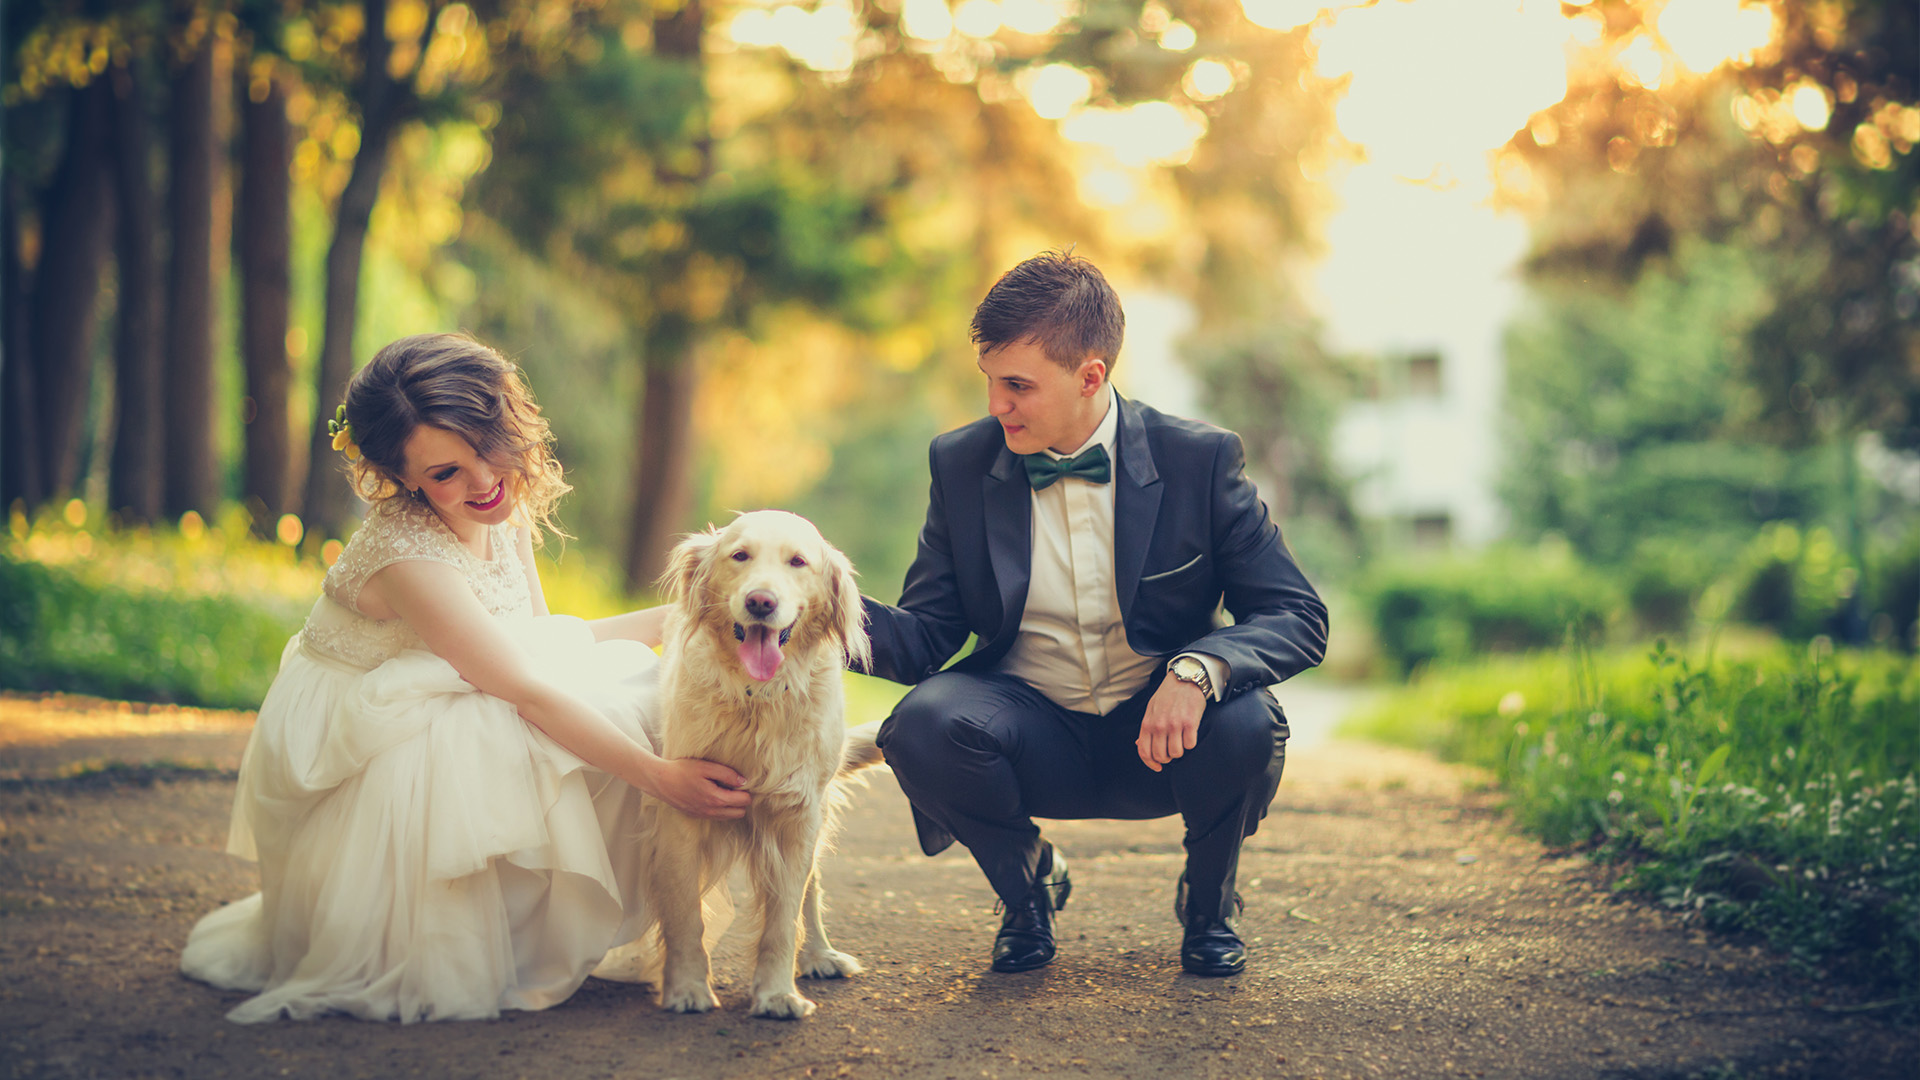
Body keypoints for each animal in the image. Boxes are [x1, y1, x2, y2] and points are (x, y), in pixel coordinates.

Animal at [652, 507, 879, 1014]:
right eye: (740, 556)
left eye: (798, 561)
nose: (760, 602)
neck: (756, 695)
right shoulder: (681, 805)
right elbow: (683, 911)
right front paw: (687, 988)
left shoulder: (797, 813)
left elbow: (783, 918)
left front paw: (776, 993)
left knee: (810, 892)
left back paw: (820, 955)